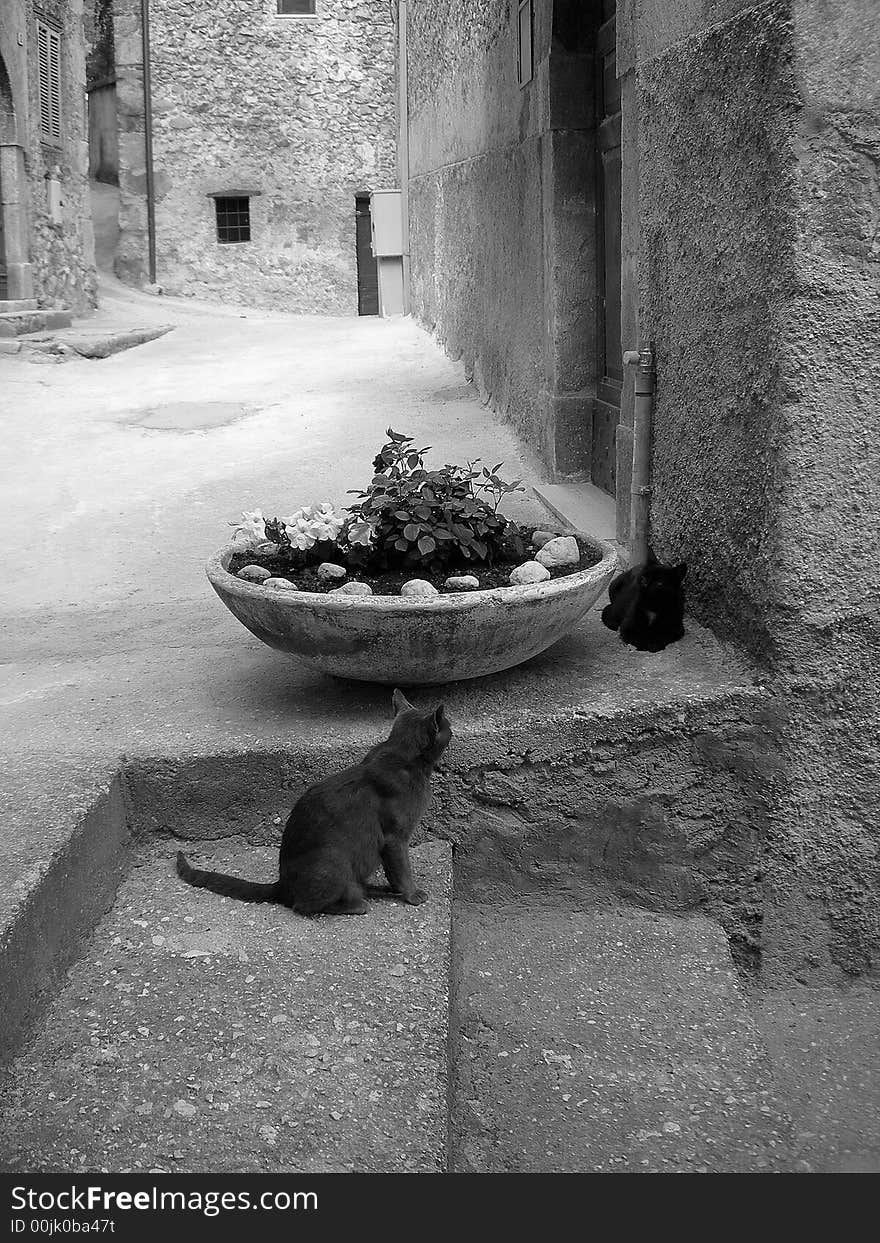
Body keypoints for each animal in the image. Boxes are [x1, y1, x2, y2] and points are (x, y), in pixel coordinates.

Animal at [178, 691, 454, 914]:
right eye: (448, 728)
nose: (452, 728)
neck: (403, 756)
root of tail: (282, 884)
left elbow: (395, 872)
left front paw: (398, 890)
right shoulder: (395, 838)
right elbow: (402, 870)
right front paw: (412, 894)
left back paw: (375, 889)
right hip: (334, 863)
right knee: (304, 906)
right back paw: (357, 905)